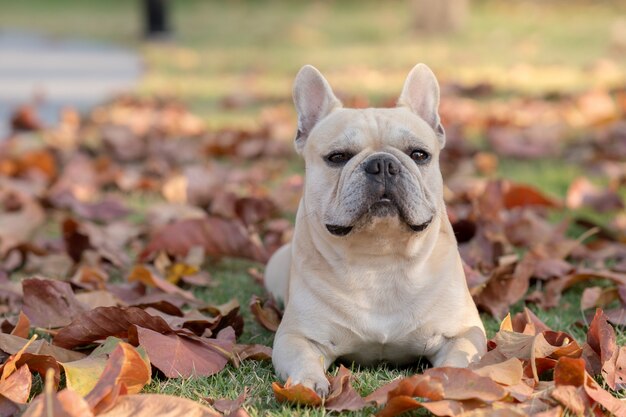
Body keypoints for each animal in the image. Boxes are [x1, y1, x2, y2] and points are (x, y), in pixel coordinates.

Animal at [262, 63, 482, 394]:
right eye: (337, 157)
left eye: (419, 154)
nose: (382, 164)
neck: (379, 257)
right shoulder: (297, 336)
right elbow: (301, 357)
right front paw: (308, 384)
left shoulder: (464, 332)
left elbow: (459, 360)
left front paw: (445, 382)